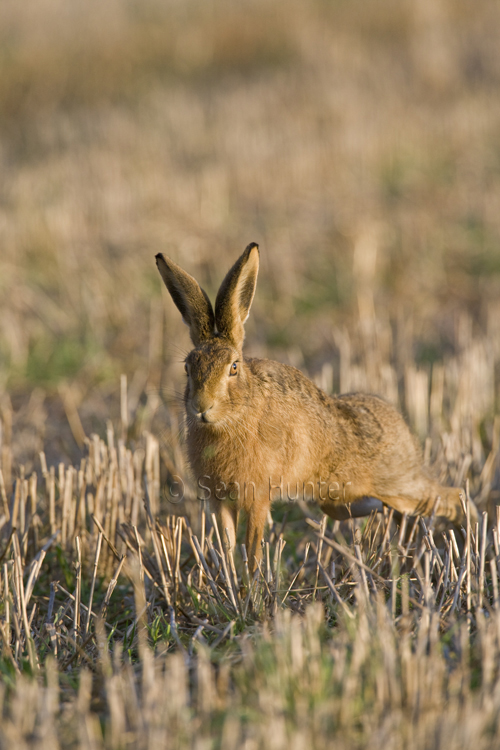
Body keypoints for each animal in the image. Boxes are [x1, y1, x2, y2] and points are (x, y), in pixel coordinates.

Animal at [156, 242, 477, 574]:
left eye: (233, 368)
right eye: (187, 367)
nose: (201, 406)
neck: (237, 413)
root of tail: (404, 431)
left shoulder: (257, 496)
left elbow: (253, 547)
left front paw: (251, 584)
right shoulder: (220, 501)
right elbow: (227, 544)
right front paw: (229, 578)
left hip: (400, 485)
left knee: (452, 497)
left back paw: (467, 539)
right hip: (345, 502)